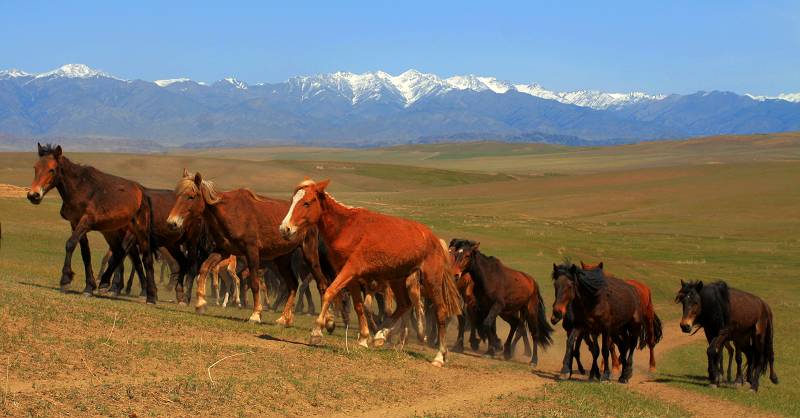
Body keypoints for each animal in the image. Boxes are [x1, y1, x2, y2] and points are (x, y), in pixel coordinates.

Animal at [27, 145, 158, 302]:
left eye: (51, 169)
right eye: (35, 167)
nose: (33, 195)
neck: (80, 189)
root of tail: (142, 192)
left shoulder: (86, 222)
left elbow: (70, 244)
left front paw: (65, 280)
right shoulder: (75, 223)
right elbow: (85, 253)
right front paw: (89, 287)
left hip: (139, 231)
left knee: (145, 259)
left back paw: (150, 296)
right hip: (111, 232)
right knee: (121, 253)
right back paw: (106, 283)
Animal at [167, 170, 330, 326]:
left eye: (191, 196)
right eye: (177, 195)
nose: (171, 222)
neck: (231, 211)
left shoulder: (252, 252)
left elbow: (254, 283)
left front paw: (255, 315)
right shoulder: (223, 251)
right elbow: (204, 268)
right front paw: (201, 304)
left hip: (309, 254)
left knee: (321, 284)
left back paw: (326, 320)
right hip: (282, 259)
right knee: (293, 285)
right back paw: (284, 319)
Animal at [280, 179, 462, 366]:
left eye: (307, 202)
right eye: (293, 200)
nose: (285, 229)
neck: (347, 227)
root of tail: (436, 240)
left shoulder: (351, 269)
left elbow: (330, 292)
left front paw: (316, 332)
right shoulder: (352, 276)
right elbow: (359, 305)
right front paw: (364, 338)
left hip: (431, 280)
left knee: (440, 312)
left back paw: (439, 356)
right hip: (397, 278)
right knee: (404, 305)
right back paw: (381, 335)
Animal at [446, 240, 552, 368]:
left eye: (467, 255)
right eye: (456, 254)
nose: (455, 274)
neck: (488, 277)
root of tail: (533, 282)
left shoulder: (496, 305)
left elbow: (487, 324)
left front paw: (490, 349)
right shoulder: (486, 307)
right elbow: (490, 327)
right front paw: (491, 350)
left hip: (530, 311)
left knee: (534, 333)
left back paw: (533, 360)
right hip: (507, 312)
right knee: (515, 324)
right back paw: (507, 351)